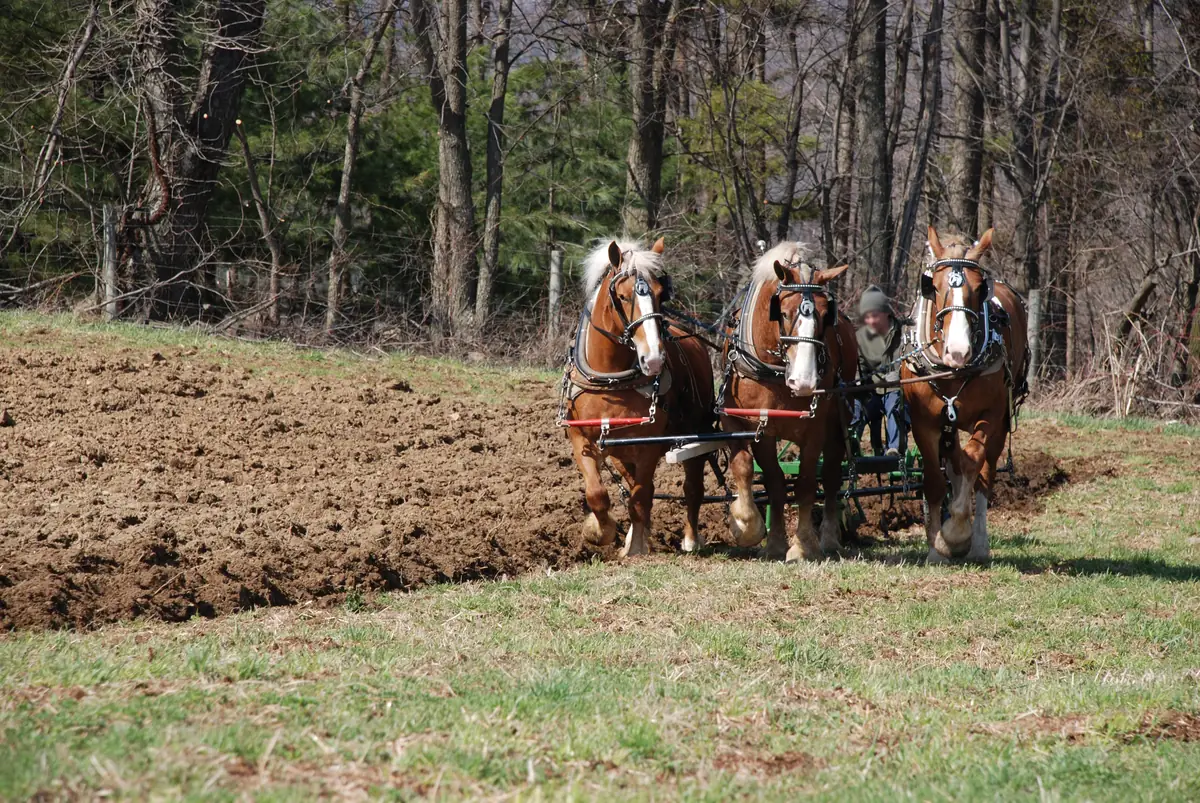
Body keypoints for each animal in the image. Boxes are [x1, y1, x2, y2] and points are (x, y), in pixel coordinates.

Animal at [561, 238, 716, 557]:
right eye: (622, 296)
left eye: (660, 294)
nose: (654, 359)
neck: (610, 380)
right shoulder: (581, 437)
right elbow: (598, 494)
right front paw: (601, 531)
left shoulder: (649, 443)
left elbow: (641, 497)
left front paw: (636, 550)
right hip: (621, 450)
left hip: (696, 433)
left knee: (692, 486)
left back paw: (691, 539)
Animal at [719, 243, 858, 562]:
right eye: (782, 312)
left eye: (825, 315)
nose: (804, 381)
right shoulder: (753, 424)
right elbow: (762, 476)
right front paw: (753, 530)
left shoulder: (815, 427)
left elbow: (806, 483)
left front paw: (803, 544)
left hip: (838, 420)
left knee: (831, 474)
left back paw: (829, 538)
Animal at [901, 226, 1029, 563]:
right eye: (933, 287)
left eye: (980, 288)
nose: (958, 352)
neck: (951, 370)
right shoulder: (923, 422)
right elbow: (934, 479)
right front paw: (937, 548)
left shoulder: (990, 416)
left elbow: (974, 463)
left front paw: (955, 533)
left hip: (1000, 419)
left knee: (985, 472)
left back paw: (979, 544)